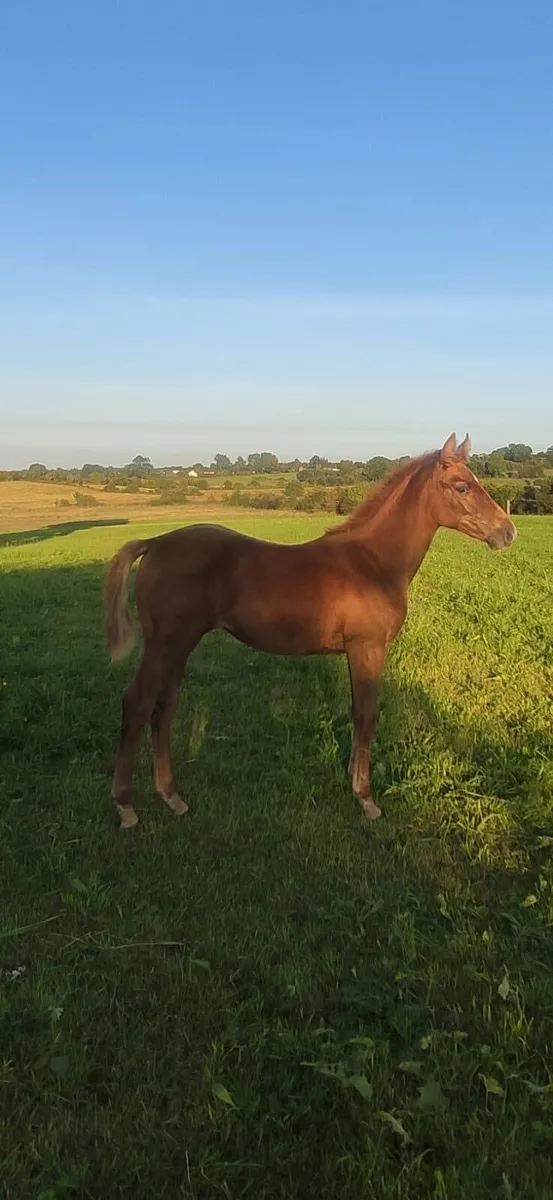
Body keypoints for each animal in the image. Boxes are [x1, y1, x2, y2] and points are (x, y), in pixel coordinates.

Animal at [104, 433, 516, 829]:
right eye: (462, 486)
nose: (508, 532)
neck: (373, 562)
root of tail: (154, 543)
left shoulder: (356, 651)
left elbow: (356, 712)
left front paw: (352, 778)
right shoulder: (367, 647)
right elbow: (367, 714)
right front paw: (366, 798)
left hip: (180, 646)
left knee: (164, 707)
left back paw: (171, 796)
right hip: (165, 644)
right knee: (138, 703)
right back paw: (125, 806)